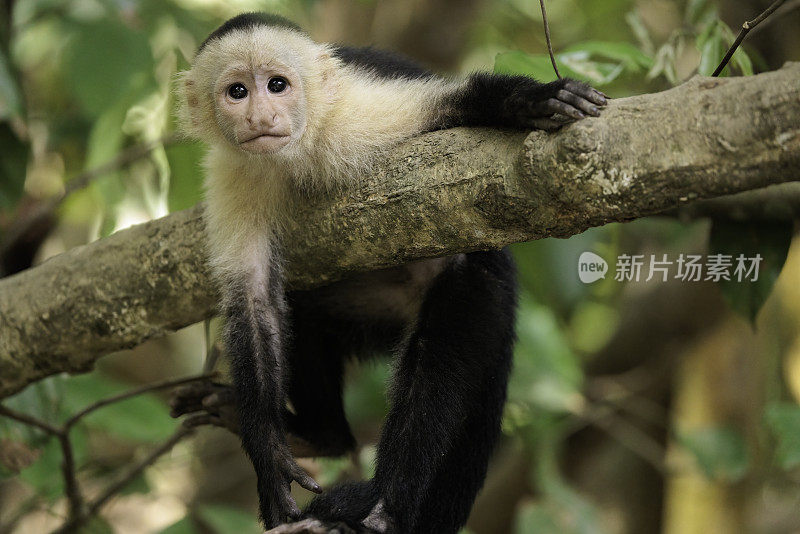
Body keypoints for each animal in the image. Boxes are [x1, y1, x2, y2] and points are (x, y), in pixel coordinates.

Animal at [172, 12, 604, 534]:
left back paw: (385, 509)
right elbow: (255, 303)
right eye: (237, 91)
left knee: (446, 340)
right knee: (303, 310)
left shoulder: (355, 114)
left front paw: (531, 101)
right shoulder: (233, 175)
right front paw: (270, 454)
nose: (260, 117)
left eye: (277, 85)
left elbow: (451, 106)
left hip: (480, 291)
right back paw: (321, 436)